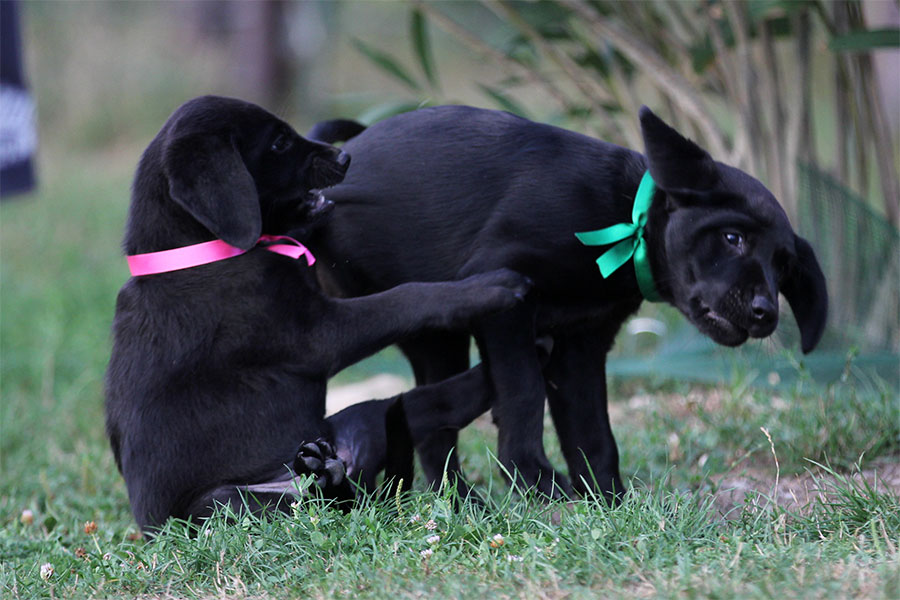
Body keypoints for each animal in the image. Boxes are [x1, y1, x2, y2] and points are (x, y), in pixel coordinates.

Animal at [104, 96, 531, 533]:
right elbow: (403, 298)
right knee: (323, 503)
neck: (198, 250)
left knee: (430, 407)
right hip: (224, 503)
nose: (344, 157)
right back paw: (322, 475)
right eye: (278, 143)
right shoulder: (317, 334)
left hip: (367, 417)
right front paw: (490, 287)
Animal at [307, 105, 828, 502]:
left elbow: (593, 434)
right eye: (733, 238)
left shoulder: (580, 342)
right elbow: (523, 396)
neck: (624, 218)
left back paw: (458, 502)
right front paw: (538, 482)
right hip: (435, 324)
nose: (766, 313)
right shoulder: (508, 300)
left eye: (783, 268)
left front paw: (607, 500)